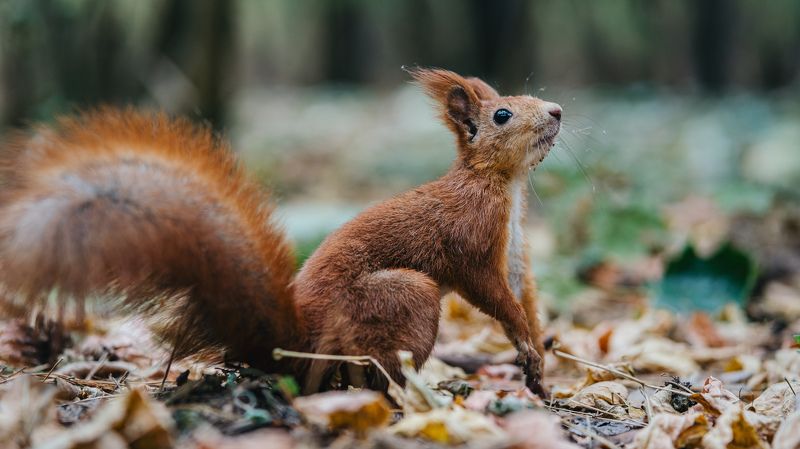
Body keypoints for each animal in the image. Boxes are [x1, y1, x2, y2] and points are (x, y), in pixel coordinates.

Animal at [0, 68, 561, 397]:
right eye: (503, 114)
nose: (557, 111)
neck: (500, 183)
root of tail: (296, 341)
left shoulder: (512, 248)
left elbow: (523, 296)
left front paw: (536, 357)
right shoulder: (470, 242)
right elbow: (491, 294)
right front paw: (527, 347)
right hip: (402, 298)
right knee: (373, 372)